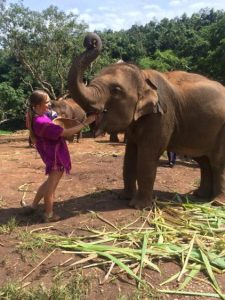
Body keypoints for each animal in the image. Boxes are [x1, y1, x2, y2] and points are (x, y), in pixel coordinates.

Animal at [67, 31, 225, 207]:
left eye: (116, 90)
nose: (91, 41)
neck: (144, 76)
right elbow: (129, 156)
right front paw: (124, 197)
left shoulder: (162, 116)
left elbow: (148, 155)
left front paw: (138, 206)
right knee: (204, 161)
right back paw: (201, 195)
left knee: (218, 162)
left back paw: (217, 203)